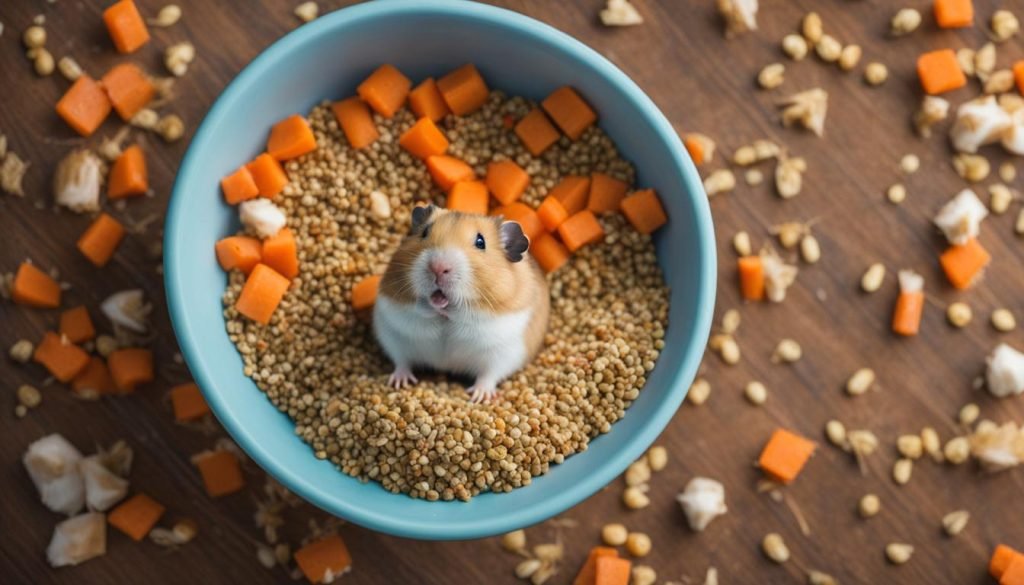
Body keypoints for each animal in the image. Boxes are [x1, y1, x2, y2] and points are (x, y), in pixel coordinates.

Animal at [373, 204, 550, 403]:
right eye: (425, 232)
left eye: (481, 242)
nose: (438, 268)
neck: (446, 318)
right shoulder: (394, 334)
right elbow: (402, 360)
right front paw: (398, 383)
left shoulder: (502, 352)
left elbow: (489, 375)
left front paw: (479, 397)